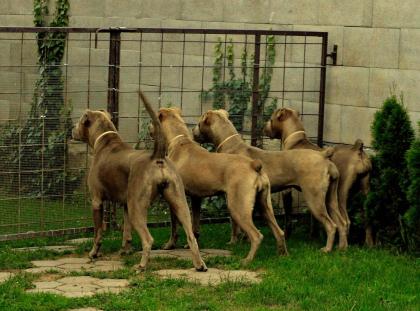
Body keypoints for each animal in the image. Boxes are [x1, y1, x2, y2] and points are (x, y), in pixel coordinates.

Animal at [71, 93, 208, 272]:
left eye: (80, 121)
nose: (71, 129)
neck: (105, 141)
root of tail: (157, 156)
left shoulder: (97, 201)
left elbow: (98, 233)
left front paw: (94, 253)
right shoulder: (126, 205)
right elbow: (127, 233)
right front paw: (125, 251)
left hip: (137, 207)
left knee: (148, 239)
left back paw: (142, 266)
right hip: (179, 202)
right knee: (191, 236)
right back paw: (199, 265)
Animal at [151, 106, 288, 264]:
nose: (149, 127)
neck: (180, 141)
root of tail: (254, 165)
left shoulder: (175, 200)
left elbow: (174, 227)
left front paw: (169, 245)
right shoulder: (196, 198)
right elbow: (195, 225)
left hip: (237, 207)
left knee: (256, 235)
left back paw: (247, 260)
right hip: (264, 205)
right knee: (279, 232)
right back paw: (282, 256)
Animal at [192, 109, 346, 254]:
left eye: (199, 123)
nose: (192, 131)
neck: (231, 144)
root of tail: (323, 155)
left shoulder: (233, 196)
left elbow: (234, 224)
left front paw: (233, 242)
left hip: (314, 198)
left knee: (331, 225)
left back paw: (327, 249)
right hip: (330, 198)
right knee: (342, 223)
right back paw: (342, 248)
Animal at [264, 108, 372, 245]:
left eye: (271, 119)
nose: (263, 127)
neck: (296, 139)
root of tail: (357, 150)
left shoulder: (287, 190)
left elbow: (288, 216)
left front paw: (288, 235)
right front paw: (314, 235)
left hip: (341, 192)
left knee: (346, 221)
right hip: (365, 191)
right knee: (368, 219)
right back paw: (368, 244)